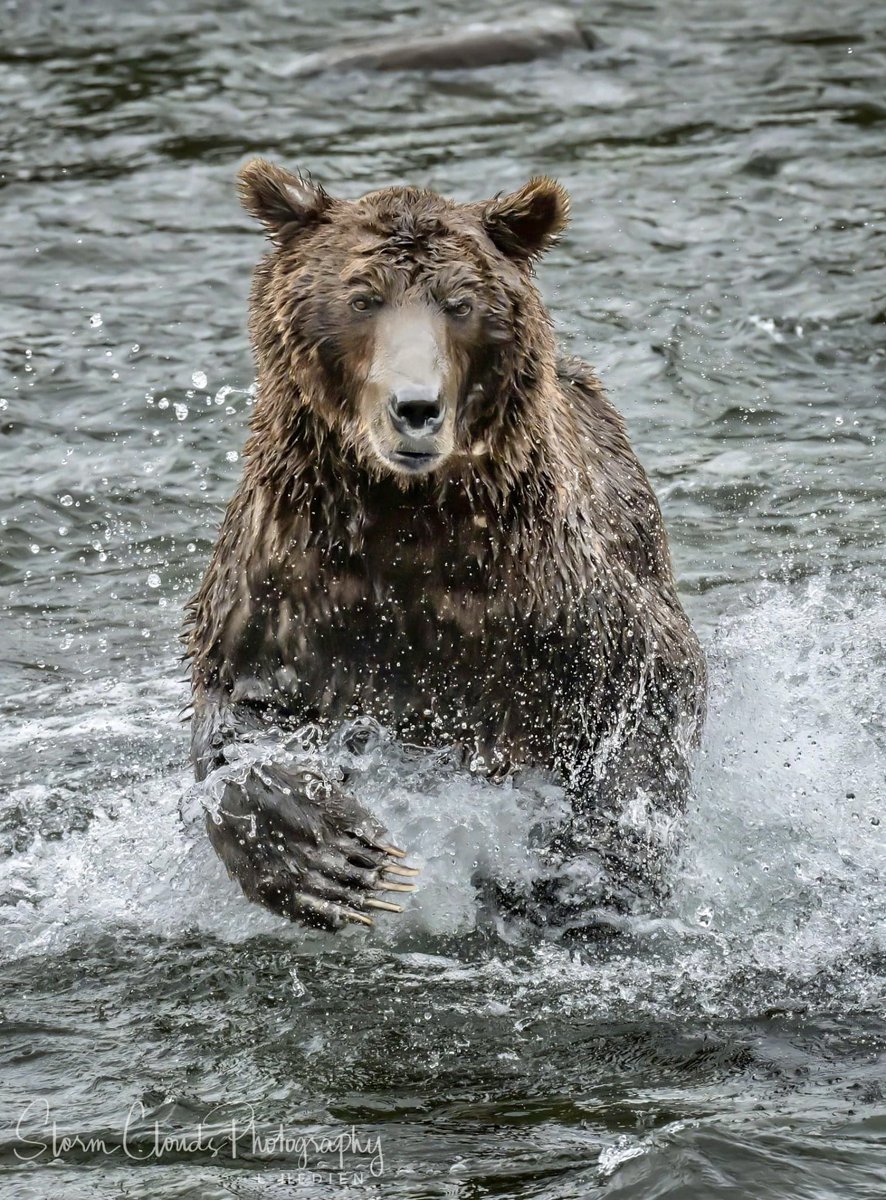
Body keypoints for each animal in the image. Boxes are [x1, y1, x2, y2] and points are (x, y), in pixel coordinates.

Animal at [184, 159, 706, 934]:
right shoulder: (290, 586)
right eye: (362, 297)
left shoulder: (555, 603)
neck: (410, 521)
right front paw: (339, 858)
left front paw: (592, 860)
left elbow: (651, 692)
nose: (416, 407)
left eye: (459, 303)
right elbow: (239, 721)